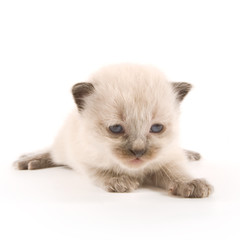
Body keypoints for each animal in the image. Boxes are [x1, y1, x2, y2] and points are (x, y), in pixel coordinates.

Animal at [14, 63, 213, 197]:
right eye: (116, 128)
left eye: (156, 128)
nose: (138, 152)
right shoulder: (85, 158)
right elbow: (102, 171)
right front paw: (119, 180)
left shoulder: (168, 157)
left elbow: (175, 171)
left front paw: (191, 184)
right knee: (52, 153)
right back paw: (28, 161)